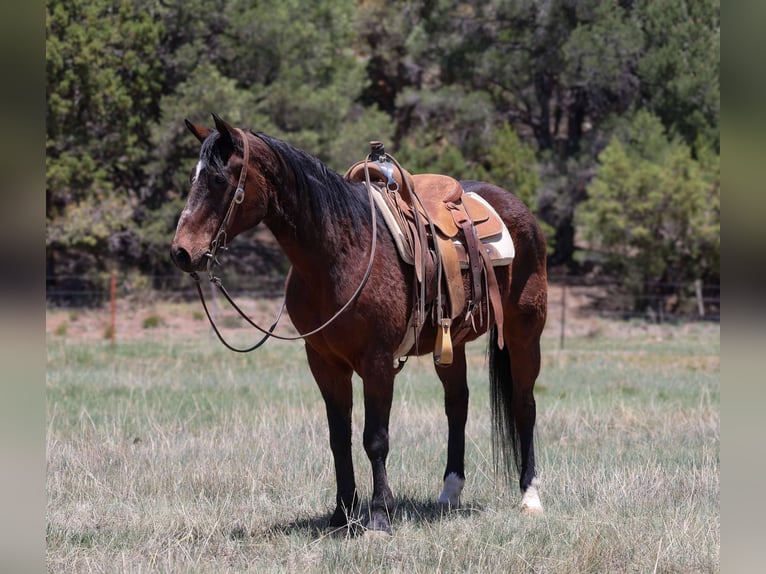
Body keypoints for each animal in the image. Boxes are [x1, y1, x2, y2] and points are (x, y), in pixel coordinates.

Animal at [170, 114, 548, 534]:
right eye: (194, 177)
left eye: (219, 180)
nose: (182, 252)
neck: (338, 252)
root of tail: (518, 209)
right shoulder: (324, 362)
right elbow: (339, 438)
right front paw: (342, 513)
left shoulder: (377, 361)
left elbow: (375, 438)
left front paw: (380, 515)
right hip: (452, 344)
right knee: (457, 404)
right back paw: (450, 493)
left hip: (525, 333)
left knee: (524, 404)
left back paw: (530, 496)